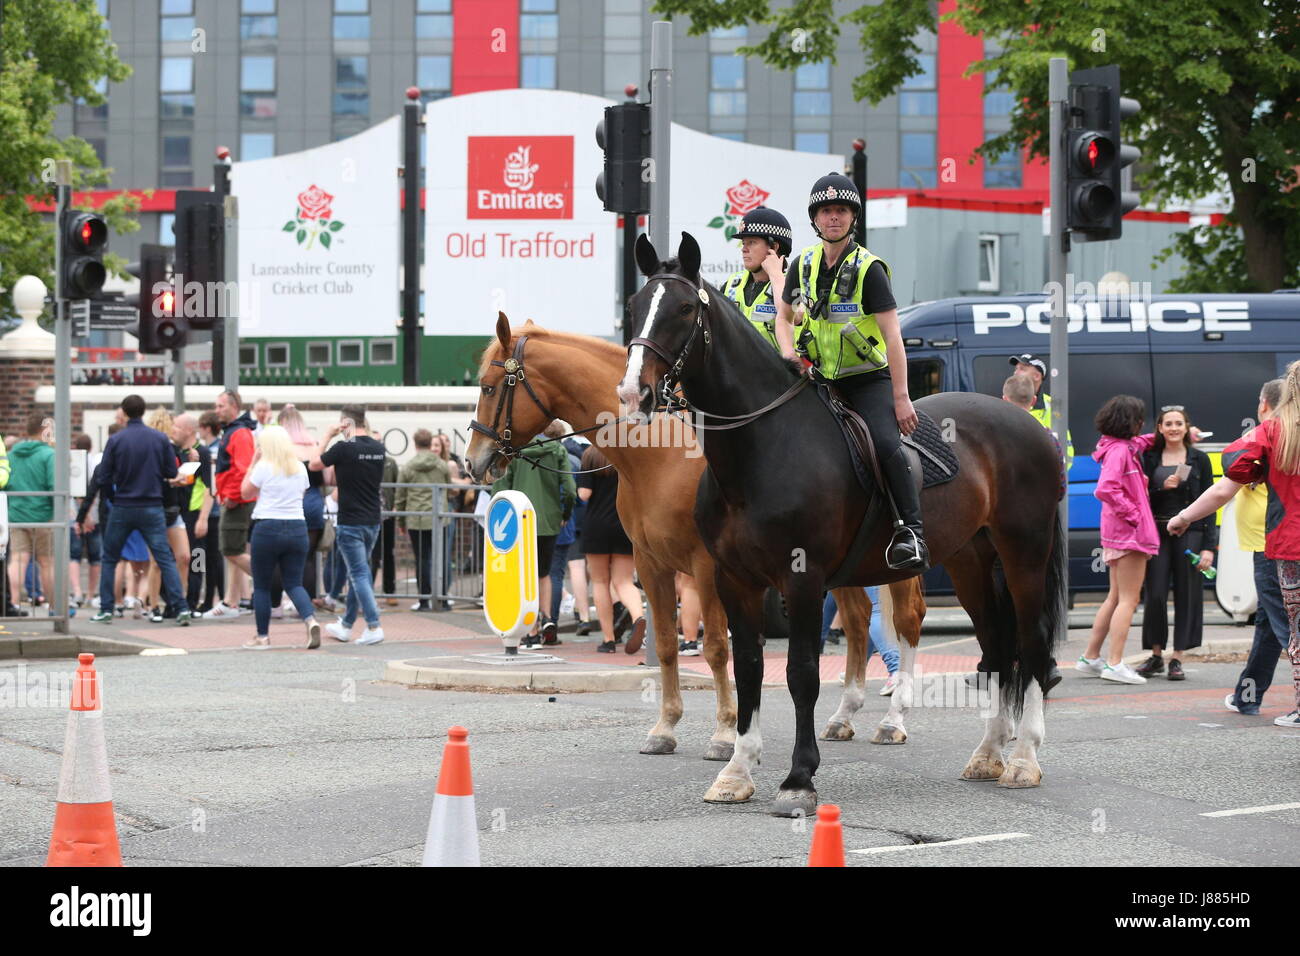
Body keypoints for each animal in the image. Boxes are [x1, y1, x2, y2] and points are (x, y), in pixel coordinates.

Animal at [462, 314, 930, 764]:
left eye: (488, 387)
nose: (473, 462)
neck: (660, 452)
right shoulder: (650, 561)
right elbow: (667, 643)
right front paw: (665, 727)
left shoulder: (708, 567)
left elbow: (716, 648)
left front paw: (724, 734)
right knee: (856, 620)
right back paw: (844, 715)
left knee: (907, 619)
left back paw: (893, 719)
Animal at [618, 235, 1066, 816]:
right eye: (633, 308)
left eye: (683, 310)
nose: (634, 394)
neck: (763, 446)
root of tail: (1030, 425)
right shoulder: (736, 581)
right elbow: (749, 668)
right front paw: (737, 770)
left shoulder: (802, 580)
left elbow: (801, 674)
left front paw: (798, 779)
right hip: (971, 562)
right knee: (995, 647)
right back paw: (989, 753)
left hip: (1024, 556)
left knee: (1031, 646)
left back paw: (1024, 758)